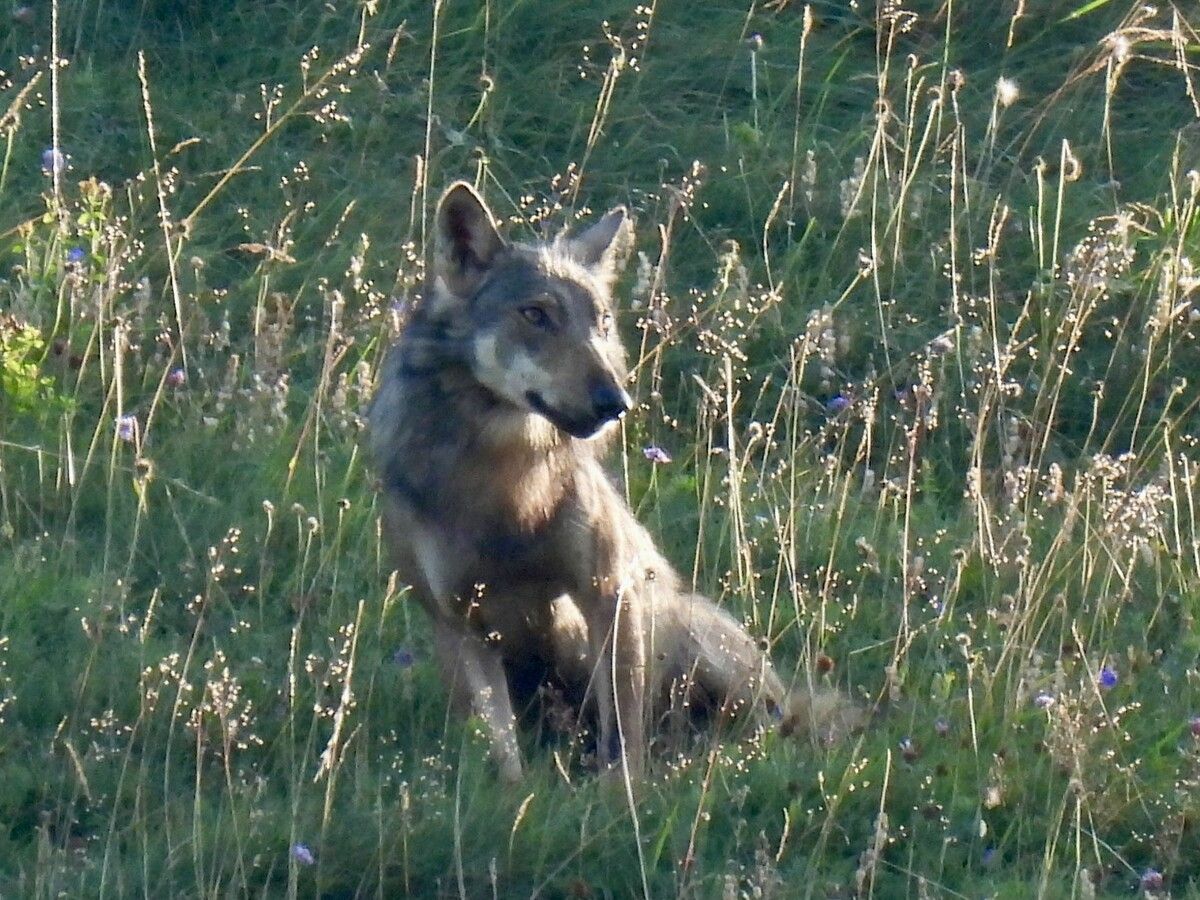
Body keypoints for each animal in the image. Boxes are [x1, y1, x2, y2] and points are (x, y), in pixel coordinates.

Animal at [369, 182, 851, 781]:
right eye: (536, 315)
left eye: (600, 322)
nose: (614, 401)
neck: (506, 485)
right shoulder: (460, 627)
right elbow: (503, 757)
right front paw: (516, 799)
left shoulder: (609, 591)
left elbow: (623, 733)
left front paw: (622, 797)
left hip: (689, 634)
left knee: (762, 726)